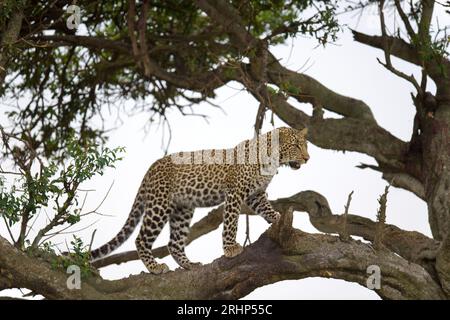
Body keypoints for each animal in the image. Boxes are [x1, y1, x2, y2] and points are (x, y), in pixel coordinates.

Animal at [90, 126, 310, 274]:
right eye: (296, 145)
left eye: (305, 145)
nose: (308, 159)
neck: (272, 160)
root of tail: (152, 167)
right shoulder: (235, 192)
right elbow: (231, 222)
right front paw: (230, 249)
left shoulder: (255, 194)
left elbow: (267, 208)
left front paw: (278, 218)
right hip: (159, 205)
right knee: (141, 239)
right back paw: (155, 267)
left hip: (182, 209)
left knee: (174, 243)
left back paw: (189, 265)